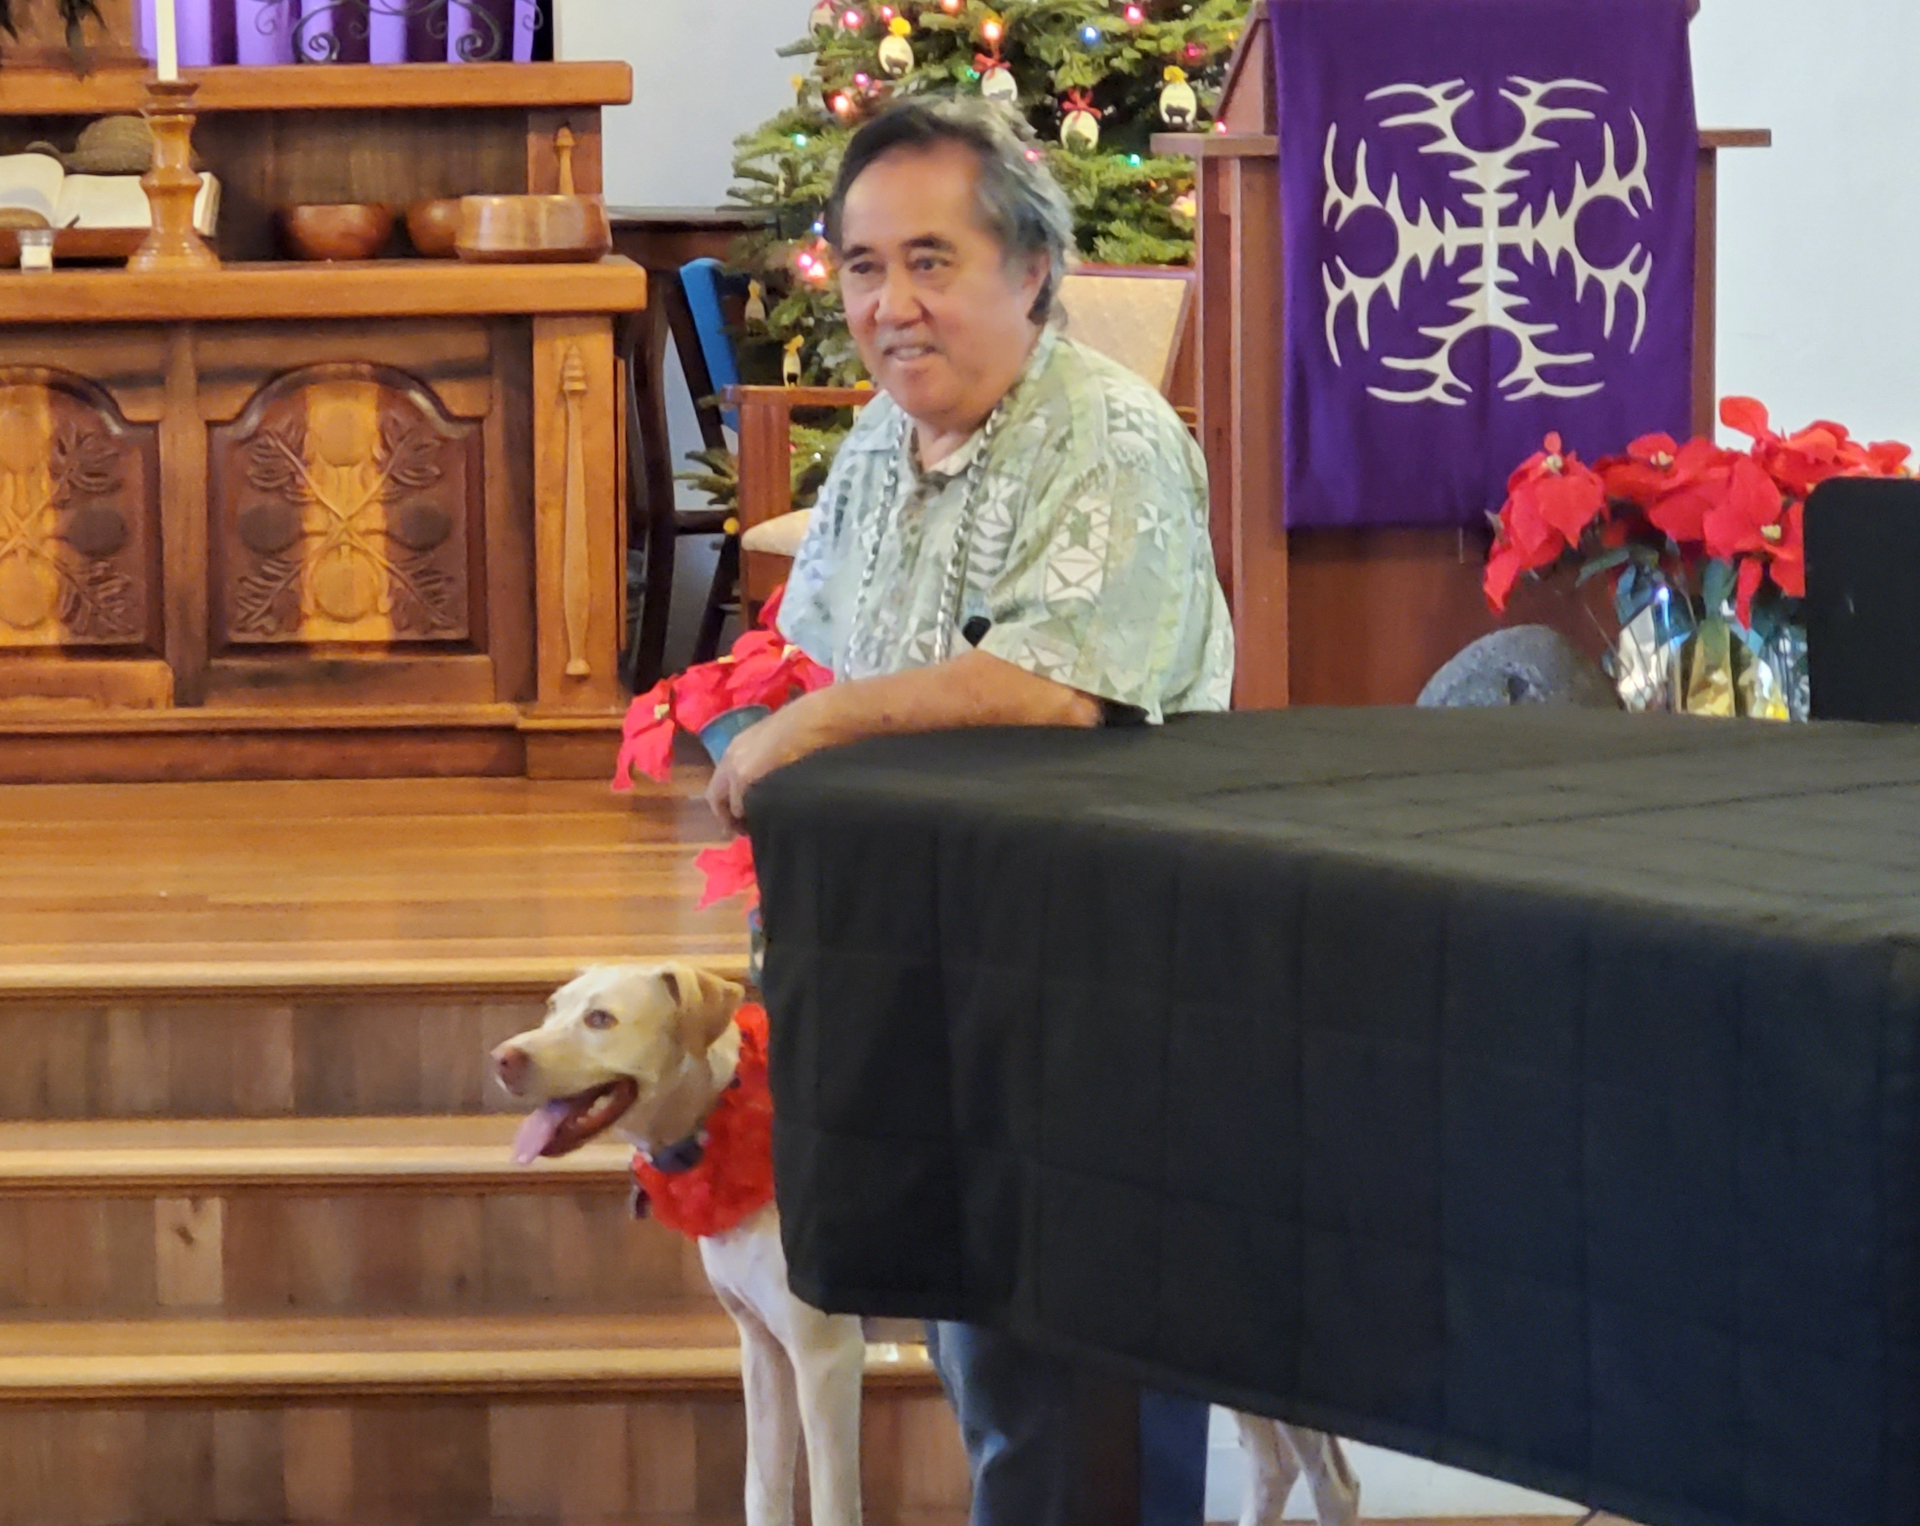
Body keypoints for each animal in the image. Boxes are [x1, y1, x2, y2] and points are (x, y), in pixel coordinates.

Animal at [495, 967, 864, 1526]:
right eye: (552, 1008)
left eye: (600, 1019)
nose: (501, 1058)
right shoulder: (765, 1348)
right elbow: (763, 1489)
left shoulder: (826, 1361)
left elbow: (833, 1505)